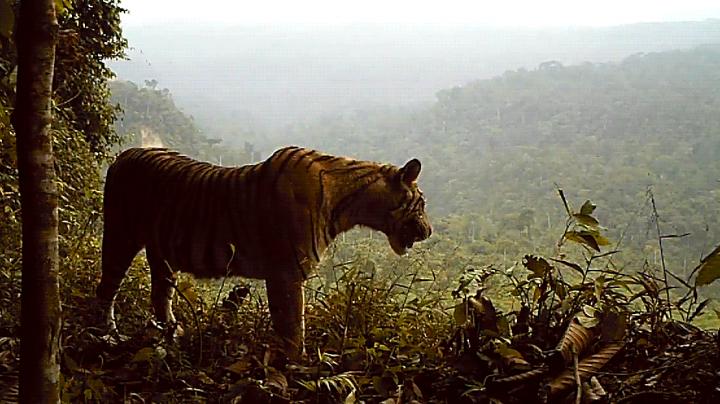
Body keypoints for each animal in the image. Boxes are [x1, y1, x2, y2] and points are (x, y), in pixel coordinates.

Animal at [97, 146, 432, 359]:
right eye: (423, 203)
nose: (429, 231)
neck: (351, 204)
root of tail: (124, 154)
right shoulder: (287, 273)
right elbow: (293, 325)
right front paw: (296, 365)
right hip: (120, 237)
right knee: (106, 288)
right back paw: (108, 335)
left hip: (161, 253)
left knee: (159, 294)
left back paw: (172, 333)